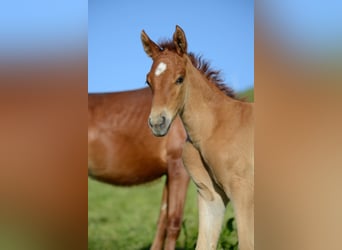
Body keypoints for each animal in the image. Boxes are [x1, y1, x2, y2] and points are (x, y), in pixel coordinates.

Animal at [142, 25, 254, 250]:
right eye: (148, 81)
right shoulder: (210, 196)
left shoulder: (243, 194)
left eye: (180, 78)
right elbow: (204, 243)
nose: (157, 123)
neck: (214, 128)